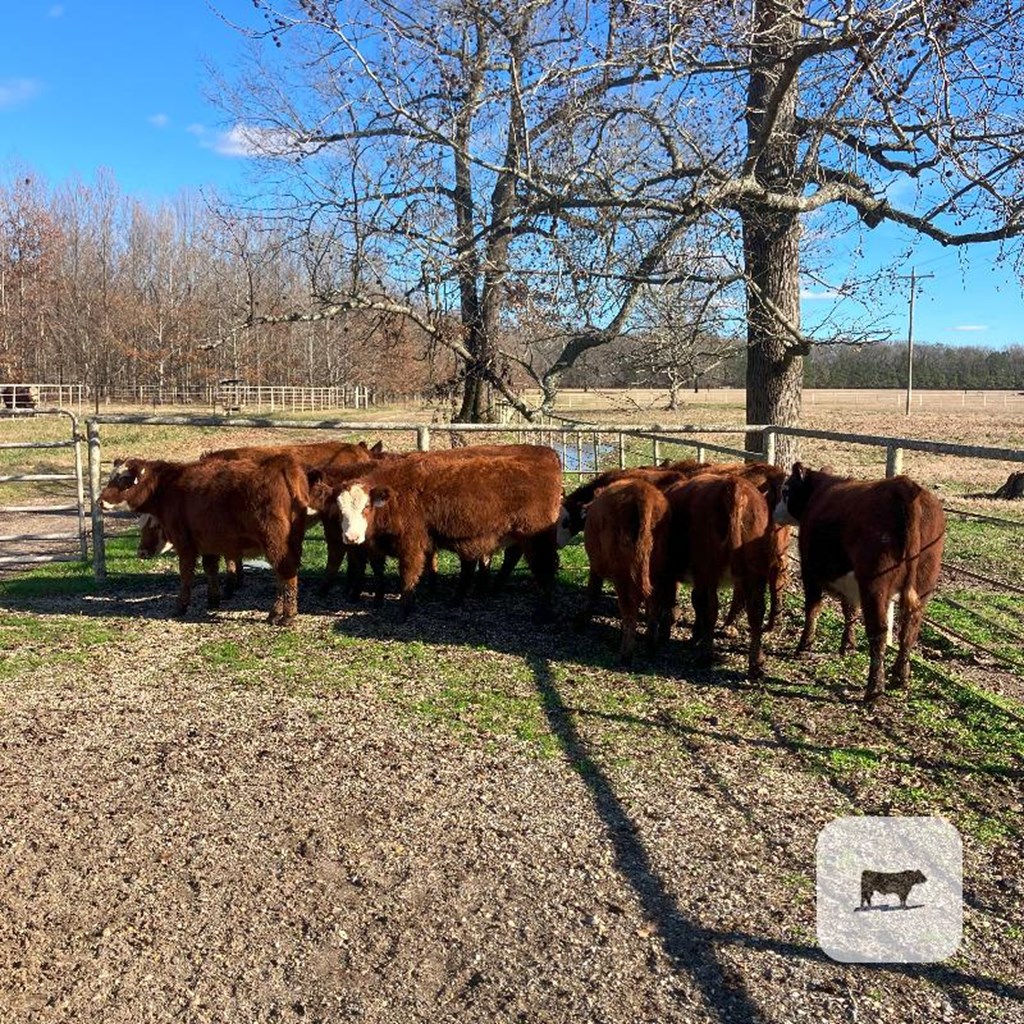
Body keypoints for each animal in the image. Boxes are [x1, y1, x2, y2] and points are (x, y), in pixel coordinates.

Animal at [99, 456, 309, 622]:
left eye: (124, 479)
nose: (100, 501)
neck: (167, 487)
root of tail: (280, 467)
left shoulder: (185, 544)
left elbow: (186, 575)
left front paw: (180, 606)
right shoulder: (209, 543)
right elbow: (210, 569)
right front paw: (213, 600)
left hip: (274, 541)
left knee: (286, 571)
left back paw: (287, 616)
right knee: (283, 574)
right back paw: (275, 613)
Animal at [573, 475, 675, 659]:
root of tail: (643, 493)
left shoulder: (595, 566)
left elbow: (593, 591)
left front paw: (582, 619)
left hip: (623, 574)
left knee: (629, 607)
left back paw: (625, 652)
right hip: (656, 571)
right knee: (653, 605)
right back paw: (650, 644)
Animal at [659, 475, 770, 684]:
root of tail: (734, 484)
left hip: (710, 568)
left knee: (711, 609)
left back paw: (706, 656)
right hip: (755, 573)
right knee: (756, 611)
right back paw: (756, 664)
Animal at [770, 464, 946, 704]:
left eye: (786, 490)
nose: (774, 511)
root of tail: (905, 487)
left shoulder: (809, 571)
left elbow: (813, 609)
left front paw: (804, 646)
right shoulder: (849, 583)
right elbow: (849, 610)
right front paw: (848, 645)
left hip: (875, 586)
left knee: (879, 632)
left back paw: (874, 690)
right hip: (922, 586)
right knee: (909, 630)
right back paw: (900, 678)